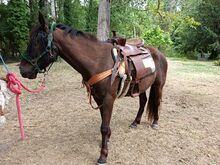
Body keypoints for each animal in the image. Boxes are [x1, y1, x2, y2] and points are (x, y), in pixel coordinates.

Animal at [19, 13, 167, 164]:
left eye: (37, 41)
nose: (23, 70)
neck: (98, 61)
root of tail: (158, 52)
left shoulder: (108, 99)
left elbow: (104, 127)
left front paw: (103, 155)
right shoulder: (98, 98)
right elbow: (103, 122)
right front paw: (106, 140)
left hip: (158, 85)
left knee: (157, 101)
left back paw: (155, 122)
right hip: (140, 86)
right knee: (143, 101)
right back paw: (135, 122)